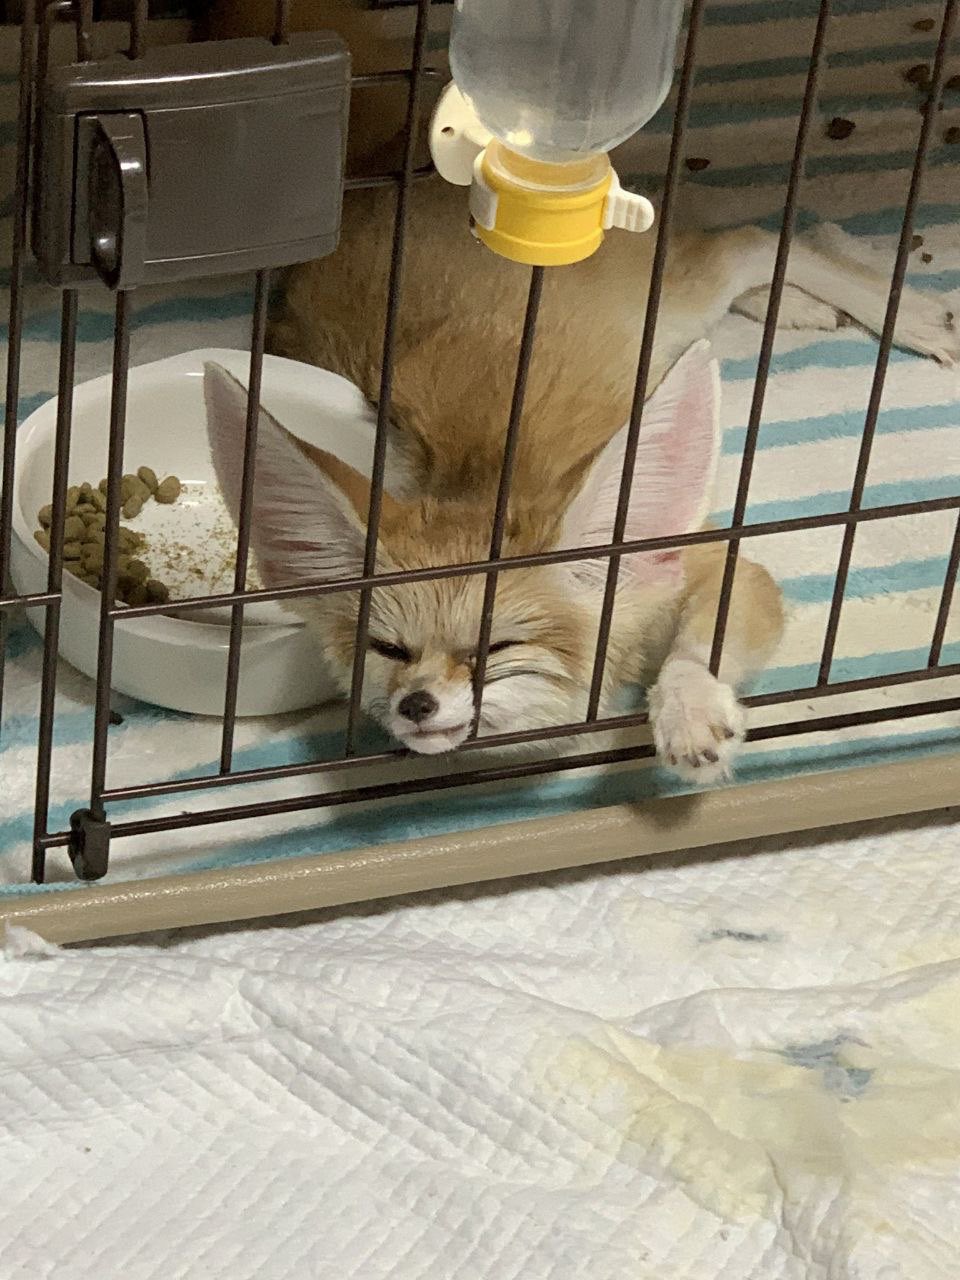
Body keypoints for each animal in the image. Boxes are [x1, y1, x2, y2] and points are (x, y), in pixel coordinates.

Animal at [204, 178, 958, 781]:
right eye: (387, 649)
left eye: (499, 648)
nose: (416, 704)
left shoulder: (720, 563)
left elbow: (695, 650)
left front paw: (685, 707)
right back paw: (801, 306)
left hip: (674, 299)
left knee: (755, 238)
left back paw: (907, 315)